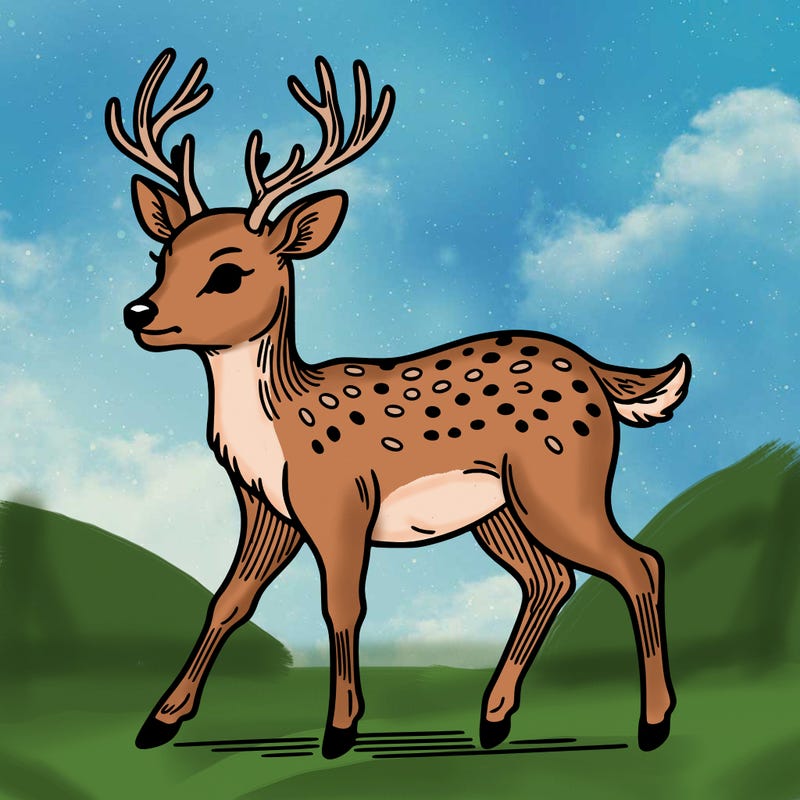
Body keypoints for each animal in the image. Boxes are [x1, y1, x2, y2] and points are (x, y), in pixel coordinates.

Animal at [107, 48, 690, 759]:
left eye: (228, 272)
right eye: (160, 255)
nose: (138, 314)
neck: (276, 424)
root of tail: (598, 373)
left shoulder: (340, 500)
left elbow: (342, 605)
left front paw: (340, 730)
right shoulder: (266, 509)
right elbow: (229, 600)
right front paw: (159, 721)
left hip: (561, 482)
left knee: (639, 565)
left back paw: (653, 724)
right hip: (500, 509)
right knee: (550, 579)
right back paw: (494, 718)